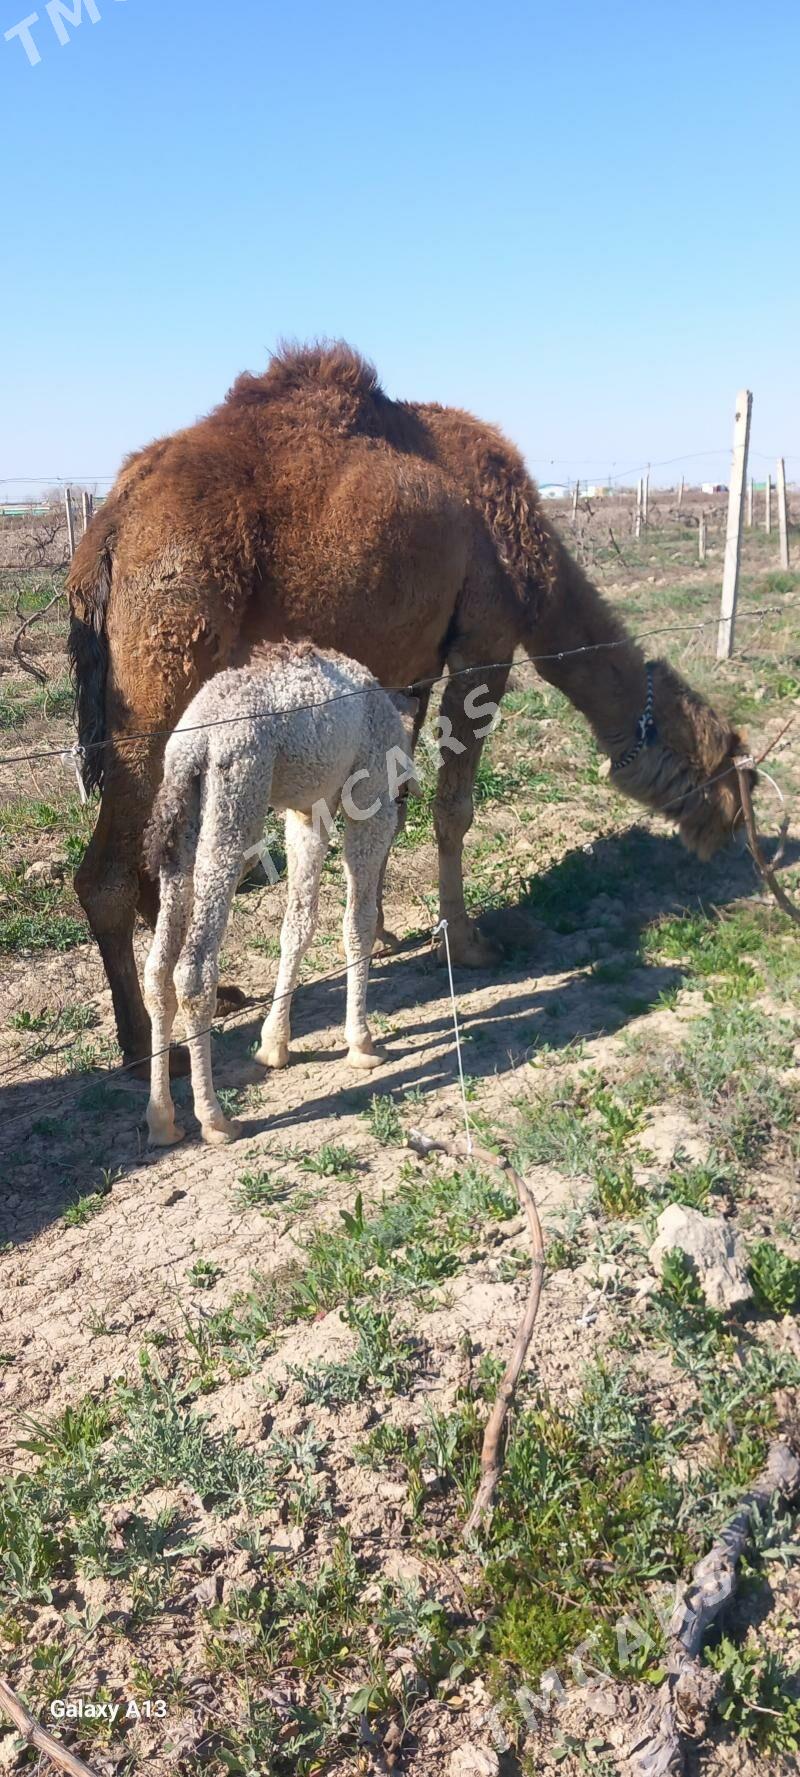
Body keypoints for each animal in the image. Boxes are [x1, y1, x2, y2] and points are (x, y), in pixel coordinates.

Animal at [68, 346, 750, 1066]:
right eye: (731, 771)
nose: (733, 829)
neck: (534, 568)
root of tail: (105, 531)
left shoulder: (412, 667)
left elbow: (393, 804)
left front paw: (384, 932)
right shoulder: (484, 644)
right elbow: (453, 808)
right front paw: (467, 941)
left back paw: (219, 998)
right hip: (162, 667)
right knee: (107, 872)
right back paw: (146, 1046)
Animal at [143, 646, 416, 1144]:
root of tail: (193, 745)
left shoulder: (308, 810)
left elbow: (297, 925)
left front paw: (274, 1045)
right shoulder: (368, 797)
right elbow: (358, 923)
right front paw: (363, 1043)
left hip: (184, 819)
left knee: (157, 971)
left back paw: (162, 1120)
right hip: (237, 801)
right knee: (193, 971)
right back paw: (215, 1119)